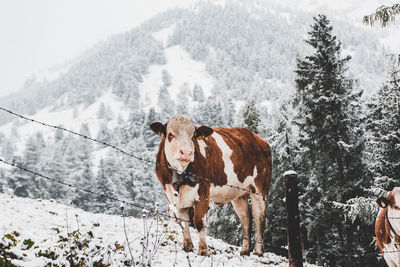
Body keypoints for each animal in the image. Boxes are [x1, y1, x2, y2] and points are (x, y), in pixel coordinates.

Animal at [150, 115, 272, 258]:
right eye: (170, 134)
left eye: (194, 136)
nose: (186, 153)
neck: (180, 175)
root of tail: (258, 139)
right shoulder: (172, 196)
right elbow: (183, 222)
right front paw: (187, 247)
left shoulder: (203, 192)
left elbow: (198, 222)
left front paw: (203, 250)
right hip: (239, 194)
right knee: (246, 219)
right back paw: (245, 250)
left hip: (259, 189)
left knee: (259, 217)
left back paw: (258, 250)